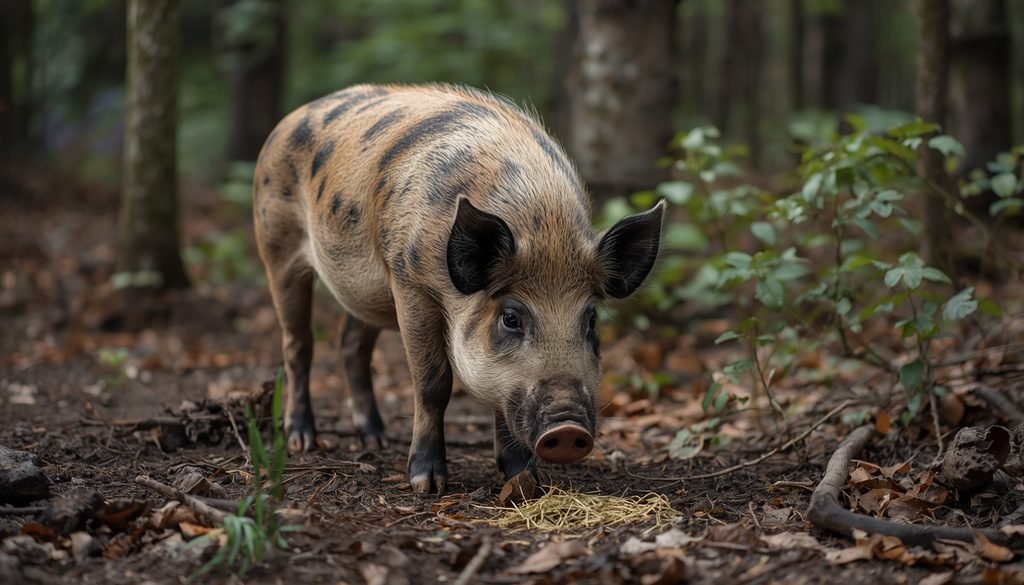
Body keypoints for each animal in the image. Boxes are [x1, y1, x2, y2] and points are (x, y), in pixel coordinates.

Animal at [253, 83, 664, 493]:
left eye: (591, 319)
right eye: (511, 318)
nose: (566, 429)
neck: (543, 226)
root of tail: (288, 120)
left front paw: (525, 477)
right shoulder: (409, 282)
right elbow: (432, 383)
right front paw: (427, 485)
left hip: (366, 292)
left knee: (351, 343)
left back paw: (376, 439)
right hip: (277, 247)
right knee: (298, 344)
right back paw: (302, 440)